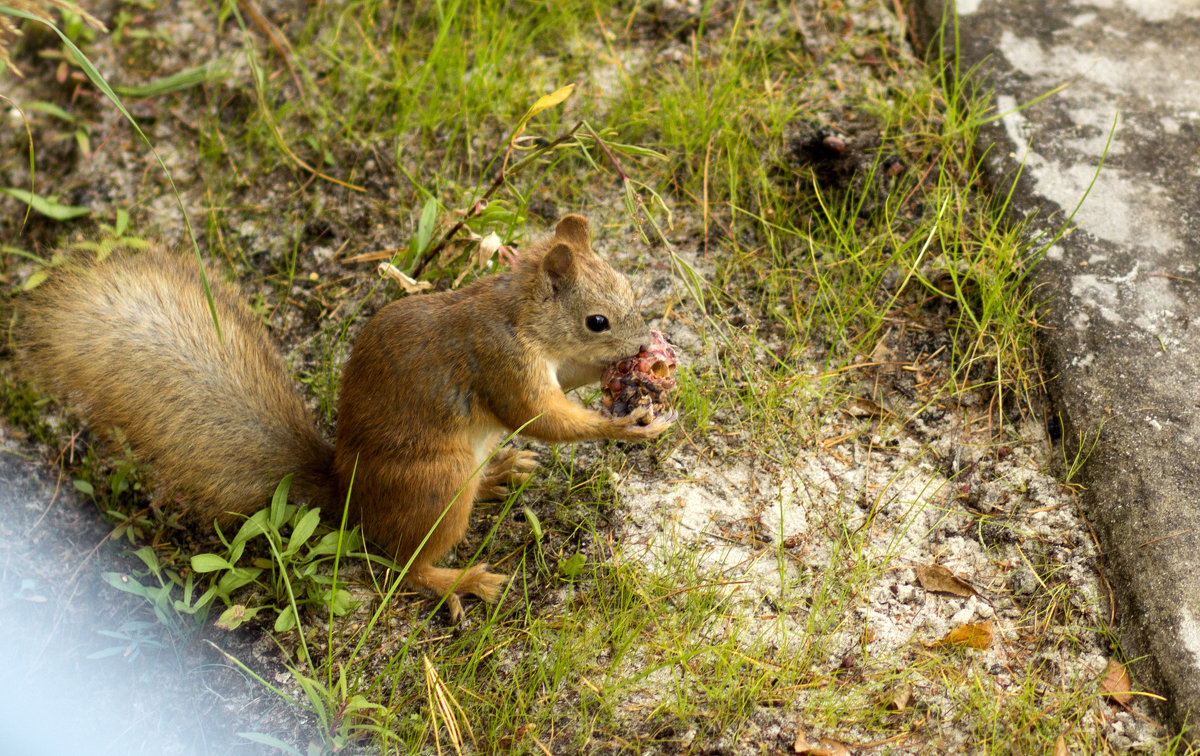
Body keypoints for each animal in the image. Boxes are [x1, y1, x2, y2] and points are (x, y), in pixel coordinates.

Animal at [18, 216, 672, 619]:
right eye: (596, 320)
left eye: (629, 287)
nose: (644, 340)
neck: (521, 316)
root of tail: (350, 498)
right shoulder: (500, 362)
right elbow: (541, 417)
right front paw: (626, 424)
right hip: (438, 484)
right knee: (405, 566)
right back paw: (461, 581)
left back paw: (500, 474)